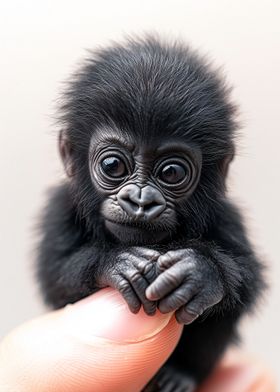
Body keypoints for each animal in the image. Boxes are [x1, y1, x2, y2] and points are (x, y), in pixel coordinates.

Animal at [37, 35, 264, 390]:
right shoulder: (60, 208)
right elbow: (53, 272)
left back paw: (179, 375)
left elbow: (249, 275)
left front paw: (199, 271)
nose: (141, 201)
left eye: (171, 172)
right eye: (112, 165)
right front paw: (116, 263)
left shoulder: (226, 216)